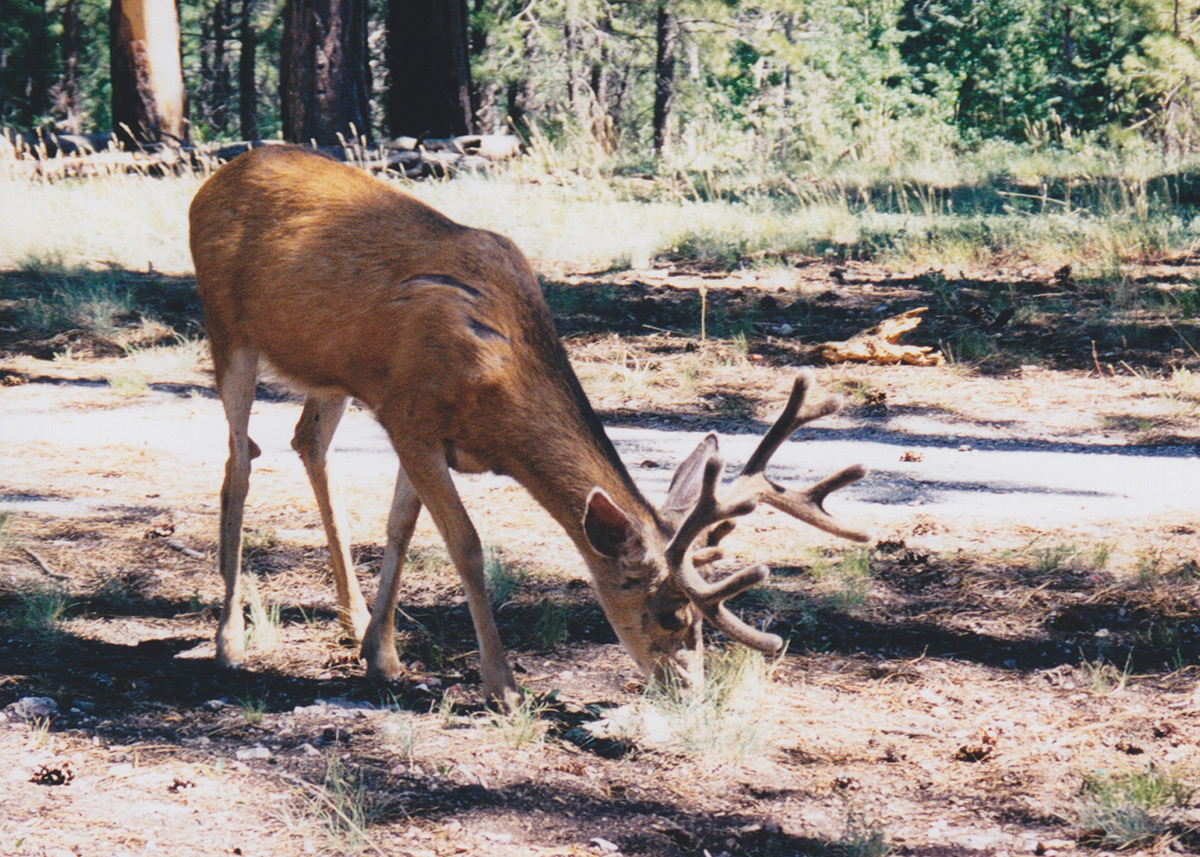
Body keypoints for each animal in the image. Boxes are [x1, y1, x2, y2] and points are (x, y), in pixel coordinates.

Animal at [187, 147, 868, 705]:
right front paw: (505, 685)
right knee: (238, 463)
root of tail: (215, 178)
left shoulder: (410, 419)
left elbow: (401, 529)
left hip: (330, 373)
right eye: (672, 614)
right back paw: (229, 639)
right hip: (228, 329)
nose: (691, 691)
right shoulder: (410, 417)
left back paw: (348, 615)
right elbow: (465, 544)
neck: (499, 395)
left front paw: (381, 655)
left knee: (307, 443)